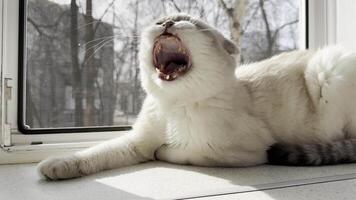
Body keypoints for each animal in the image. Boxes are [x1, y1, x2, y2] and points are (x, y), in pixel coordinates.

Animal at [36, 13, 356, 180]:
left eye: (184, 20)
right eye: (162, 19)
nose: (166, 21)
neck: (173, 105)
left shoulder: (235, 151)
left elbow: (177, 152)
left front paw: (163, 150)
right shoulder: (137, 141)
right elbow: (96, 153)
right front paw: (57, 166)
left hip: (326, 69)